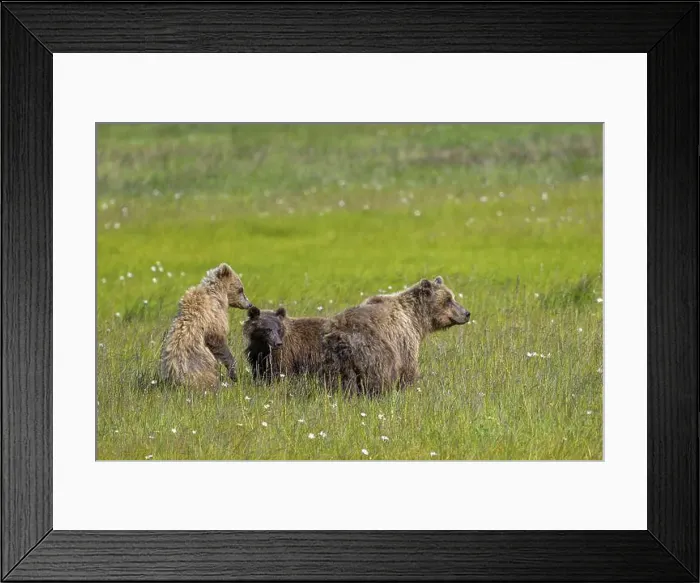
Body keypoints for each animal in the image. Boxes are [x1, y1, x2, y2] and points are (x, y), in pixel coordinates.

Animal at [321, 276, 469, 394]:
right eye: (448, 300)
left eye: (453, 297)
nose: (467, 313)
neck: (416, 318)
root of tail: (339, 335)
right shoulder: (404, 338)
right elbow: (408, 368)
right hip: (373, 349)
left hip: (333, 361)